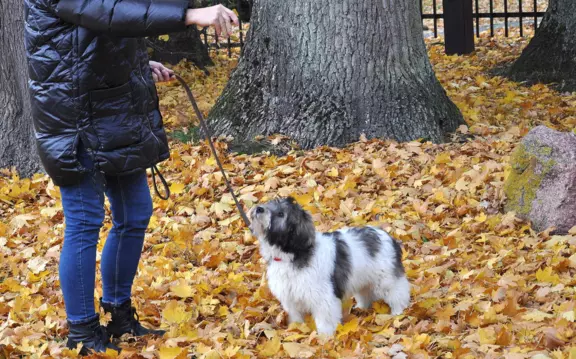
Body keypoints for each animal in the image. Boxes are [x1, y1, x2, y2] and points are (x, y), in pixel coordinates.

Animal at [250, 195, 412, 336]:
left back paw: (398, 312)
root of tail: (388, 236)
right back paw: (361, 308)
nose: (259, 209)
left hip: (387, 278)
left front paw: (325, 337)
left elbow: (325, 318)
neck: (292, 255)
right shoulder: (290, 297)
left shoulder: (322, 296)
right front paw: (297, 329)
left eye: (281, 214)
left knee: (398, 292)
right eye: (269, 204)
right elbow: (296, 316)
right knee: (365, 293)